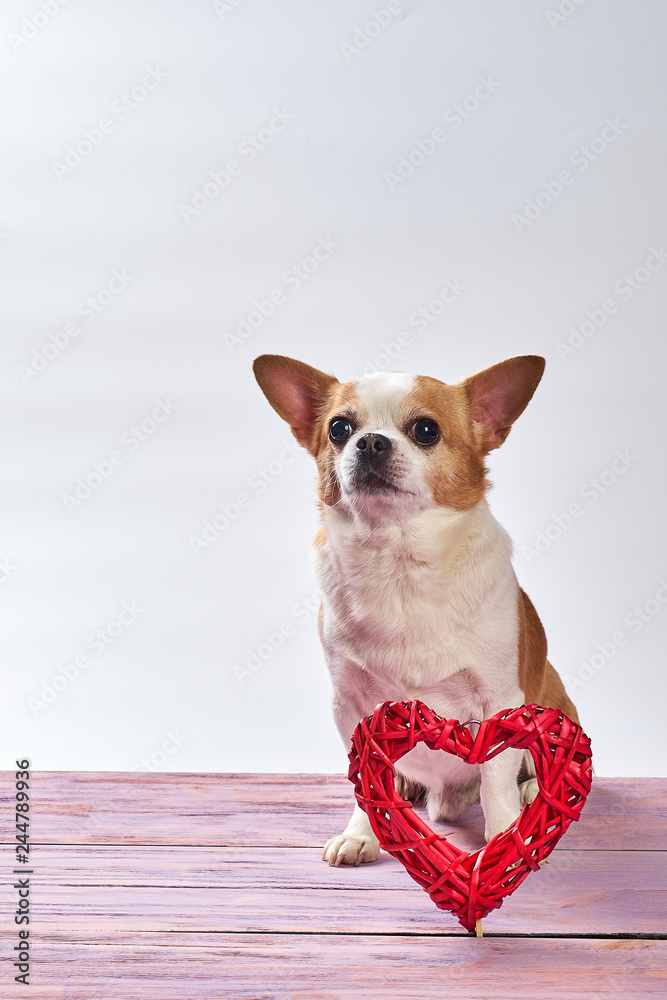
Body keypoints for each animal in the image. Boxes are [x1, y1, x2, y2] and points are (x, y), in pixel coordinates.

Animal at [253, 356, 576, 864]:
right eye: (339, 429)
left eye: (426, 430)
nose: (369, 441)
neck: (399, 564)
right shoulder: (352, 706)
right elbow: (365, 782)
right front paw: (362, 834)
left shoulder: (499, 702)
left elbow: (496, 783)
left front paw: (503, 841)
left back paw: (531, 794)